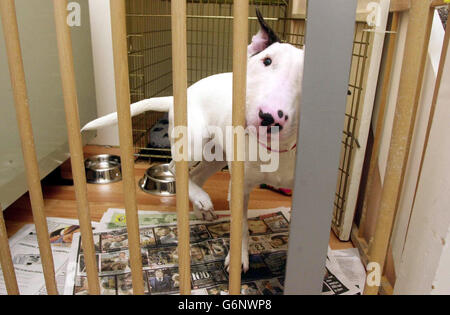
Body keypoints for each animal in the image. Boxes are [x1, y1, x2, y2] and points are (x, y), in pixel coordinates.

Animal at [82, 9, 304, 272]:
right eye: (266, 61)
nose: (269, 116)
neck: (277, 149)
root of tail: (178, 95)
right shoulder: (240, 188)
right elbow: (240, 225)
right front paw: (238, 257)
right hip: (194, 144)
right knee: (173, 168)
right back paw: (200, 199)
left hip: (216, 156)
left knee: (194, 175)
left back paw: (201, 206)